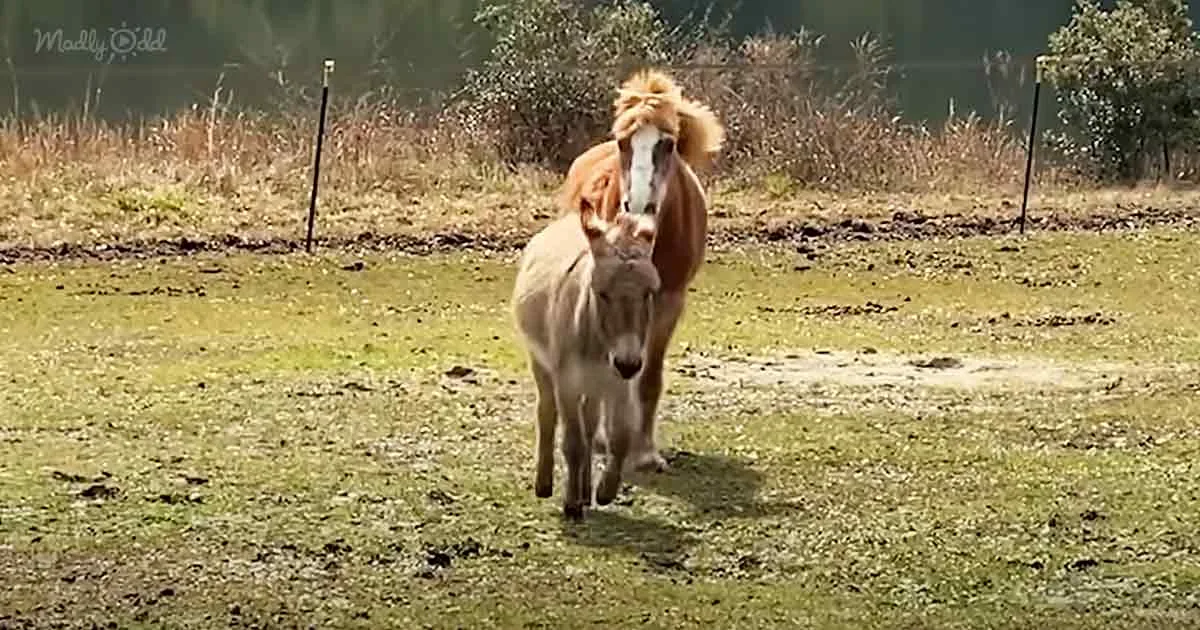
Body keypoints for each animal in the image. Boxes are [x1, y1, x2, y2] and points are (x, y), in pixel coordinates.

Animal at [510, 199, 662, 520]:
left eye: (648, 293)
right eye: (601, 293)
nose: (627, 363)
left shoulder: (618, 383)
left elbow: (619, 436)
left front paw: (604, 492)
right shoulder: (567, 383)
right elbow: (573, 443)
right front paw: (570, 504)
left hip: (594, 386)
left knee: (590, 427)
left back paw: (585, 491)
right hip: (542, 366)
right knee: (547, 414)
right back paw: (545, 484)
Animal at [557, 68, 725, 473]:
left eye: (668, 143)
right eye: (624, 142)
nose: (636, 206)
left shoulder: (668, 302)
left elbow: (649, 376)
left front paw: (645, 452)